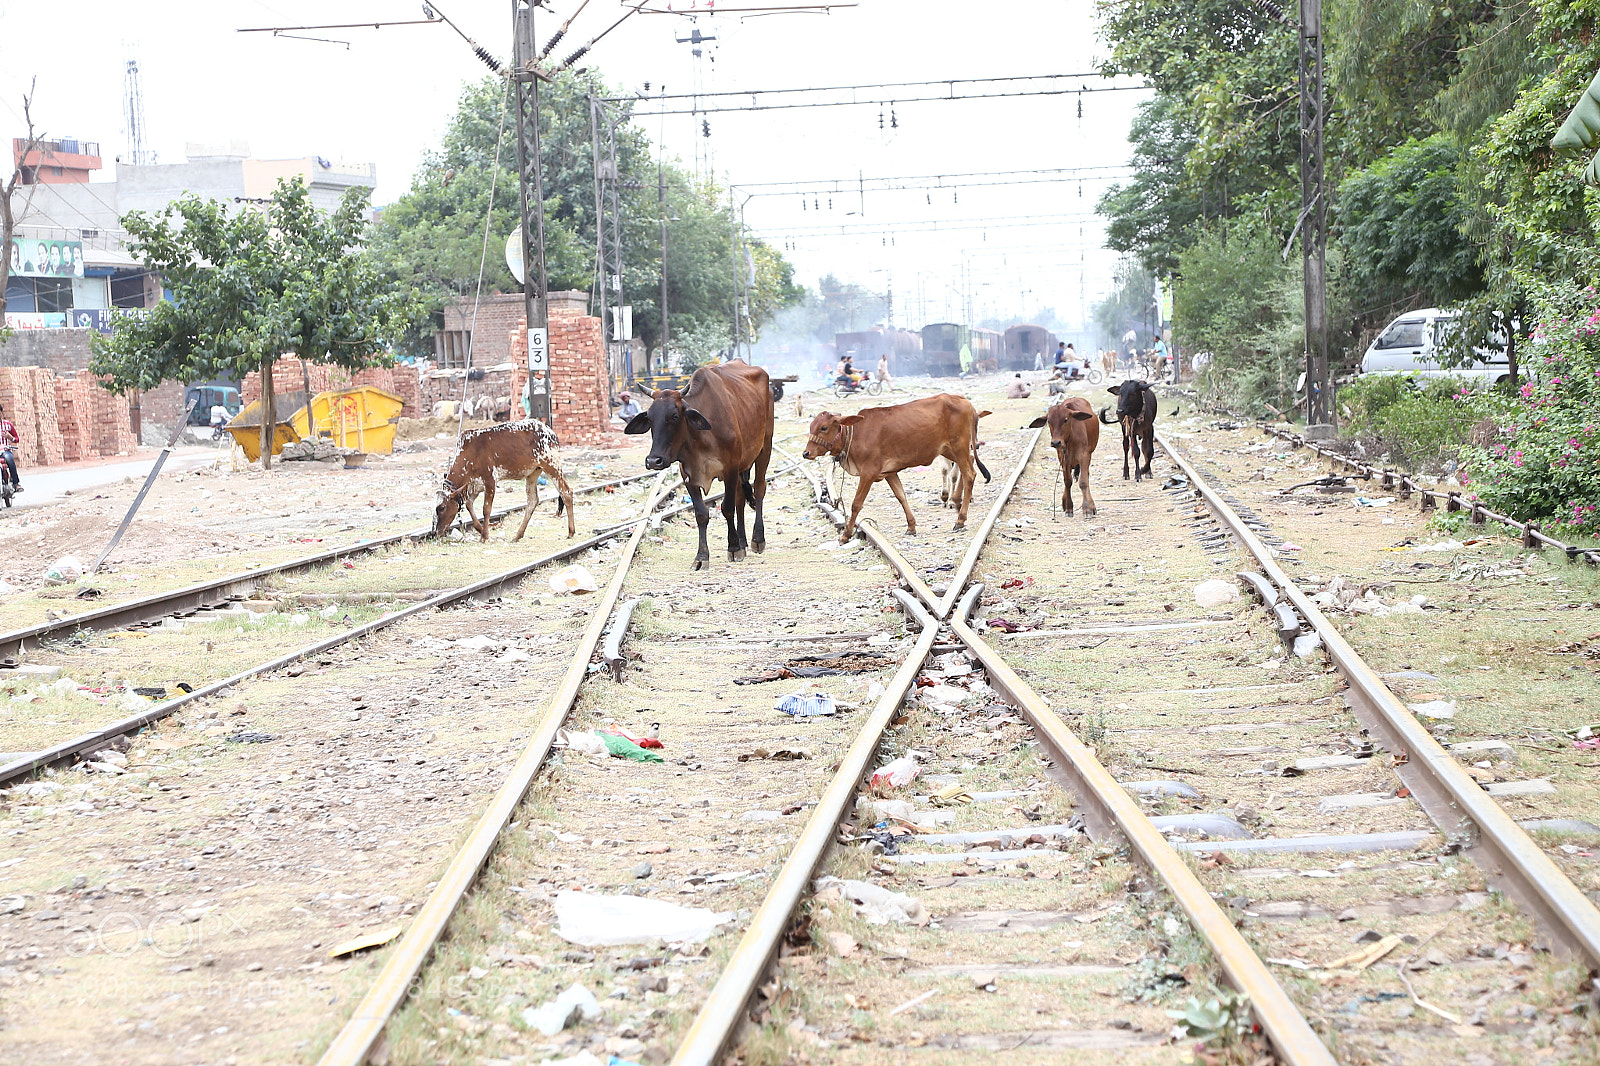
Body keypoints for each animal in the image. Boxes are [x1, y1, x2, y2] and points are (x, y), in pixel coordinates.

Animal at [434, 419, 575, 541]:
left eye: (442, 507)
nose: (436, 532)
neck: (469, 454)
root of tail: (550, 431)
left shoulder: (490, 481)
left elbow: (486, 510)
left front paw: (484, 536)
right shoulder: (475, 486)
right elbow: (469, 504)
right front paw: (480, 529)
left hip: (552, 466)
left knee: (566, 493)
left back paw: (571, 532)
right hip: (533, 473)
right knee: (532, 501)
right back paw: (518, 535)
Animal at [625, 362, 775, 570]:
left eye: (674, 416)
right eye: (650, 418)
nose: (654, 461)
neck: (700, 439)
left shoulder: (730, 469)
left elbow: (727, 508)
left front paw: (733, 548)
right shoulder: (688, 475)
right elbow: (701, 514)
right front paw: (702, 556)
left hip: (764, 448)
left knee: (759, 488)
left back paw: (756, 539)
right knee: (740, 498)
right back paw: (743, 541)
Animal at [801, 393, 991, 542]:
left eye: (824, 427)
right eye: (811, 427)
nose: (806, 453)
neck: (855, 434)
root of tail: (966, 402)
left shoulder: (868, 473)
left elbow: (856, 504)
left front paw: (846, 535)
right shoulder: (889, 472)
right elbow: (901, 497)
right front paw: (911, 526)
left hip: (959, 446)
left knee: (969, 474)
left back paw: (960, 518)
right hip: (948, 449)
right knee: (971, 463)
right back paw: (956, 501)